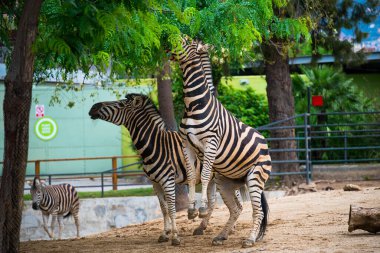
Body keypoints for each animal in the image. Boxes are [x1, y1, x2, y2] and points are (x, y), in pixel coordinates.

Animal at [88, 93, 218, 245]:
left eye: (121, 104)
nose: (93, 107)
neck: (155, 145)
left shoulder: (167, 181)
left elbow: (172, 209)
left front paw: (175, 236)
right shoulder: (155, 183)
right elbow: (164, 208)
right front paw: (165, 234)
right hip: (213, 178)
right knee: (213, 201)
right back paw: (201, 228)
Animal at [171, 36, 272, 248]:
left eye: (186, 40)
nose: (169, 39)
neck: (193, 104)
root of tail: (265, 145)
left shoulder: (210, 142)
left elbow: (205, 175)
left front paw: (201, 209)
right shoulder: (187, 144)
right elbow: (192, 177)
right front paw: (192, 210)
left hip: (255, 177)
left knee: (257, 211)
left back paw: (250, 239)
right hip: (226, 182)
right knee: (236, 209)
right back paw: (221, 236)